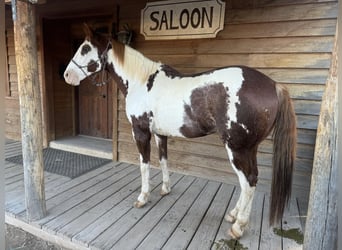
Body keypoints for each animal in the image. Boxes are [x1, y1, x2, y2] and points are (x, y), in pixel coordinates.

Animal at [63, 24, 296, 239]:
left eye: (85, 48)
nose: (66, 75)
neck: (141, 82)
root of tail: (273, 85)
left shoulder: (141, 132)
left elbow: (144, 165)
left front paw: (143, 197)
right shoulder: (160, 134)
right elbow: (163, 160)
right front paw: (165, 189)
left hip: (237, 149)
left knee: (248, 182)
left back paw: (238, 226)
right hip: (250, 148)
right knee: (251, 179)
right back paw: (233, 215)